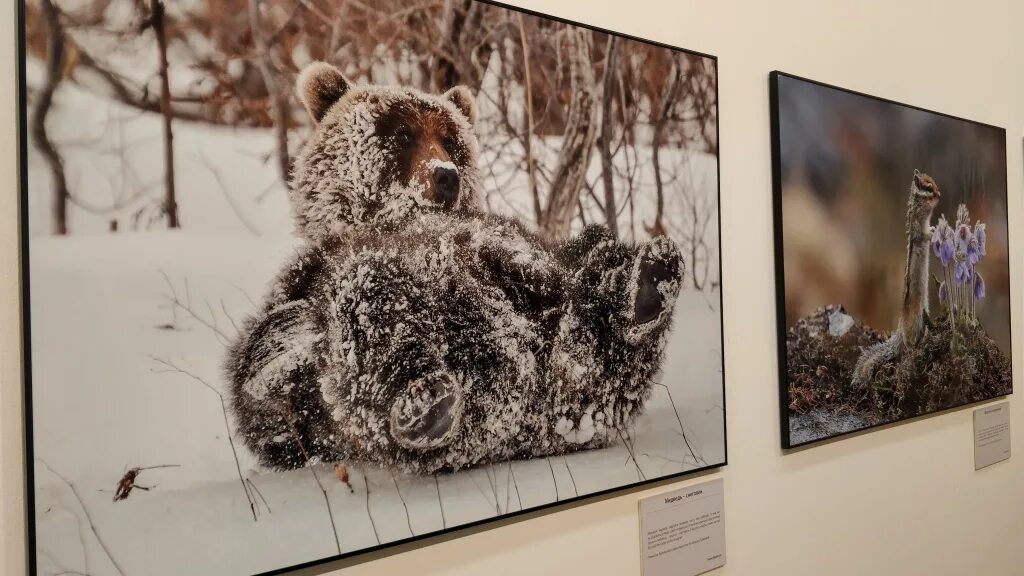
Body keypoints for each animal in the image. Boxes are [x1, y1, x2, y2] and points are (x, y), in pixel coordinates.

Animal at [851, 169, 937, 385]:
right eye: (928, 188)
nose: (939, 195)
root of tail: (899, 328)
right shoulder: (917, 228)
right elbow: (923, 235)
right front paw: (933, 233)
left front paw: (934, 229)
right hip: (915, 320)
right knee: (908, 345)